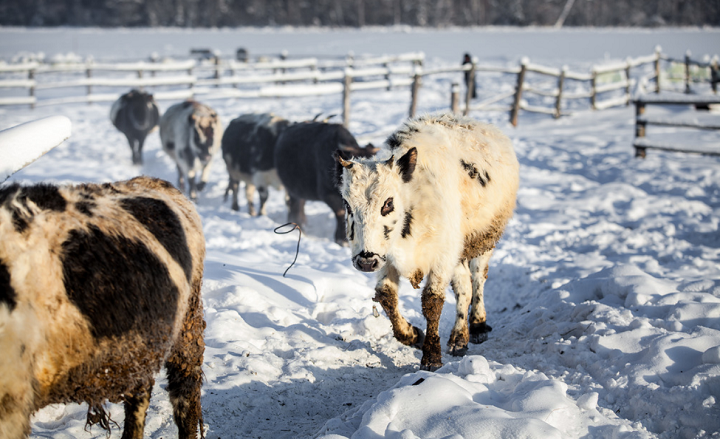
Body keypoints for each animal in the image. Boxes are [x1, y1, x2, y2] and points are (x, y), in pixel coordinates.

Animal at [334, 114, 520, 372]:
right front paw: (412, 335)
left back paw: (477, 326)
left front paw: (431, 357)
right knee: (464, 286)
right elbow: (386, 295)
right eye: (347, 204)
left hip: (485, 239)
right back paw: (459, 338)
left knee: (478, 278)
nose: (365, 261)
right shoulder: (387, 257)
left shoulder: (442, 257)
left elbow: (432, 301)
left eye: (388, 203)